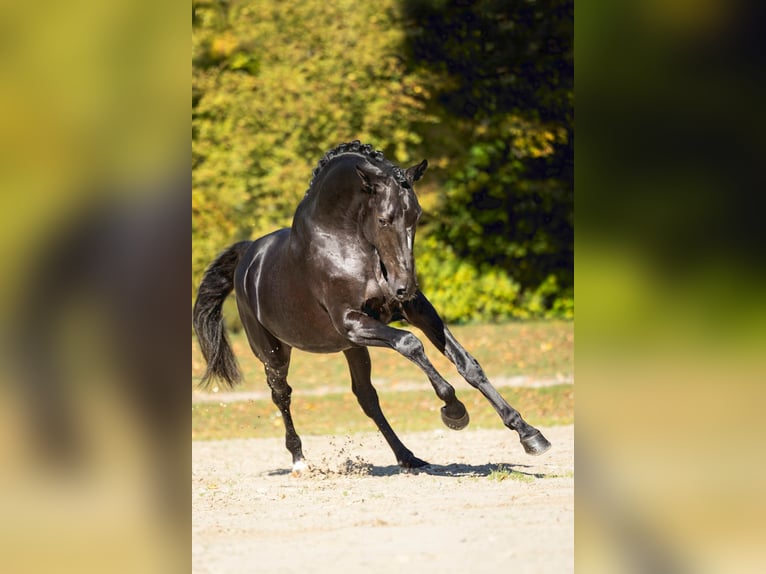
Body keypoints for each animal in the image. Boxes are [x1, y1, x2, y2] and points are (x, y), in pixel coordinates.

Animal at [194, 141, 552, 472]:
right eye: (383, 219)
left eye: (416, 216)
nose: (404, 286)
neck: (346, 243)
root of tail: (248, 256)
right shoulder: (351, 320)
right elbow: (411, 343)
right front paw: (454, 411)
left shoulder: (413, 312)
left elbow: (467, 364)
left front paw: (529, 434)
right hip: (274, 353)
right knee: (282, 395)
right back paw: (299, 461)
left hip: (352, 347)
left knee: (366, 397)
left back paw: (408, 457)